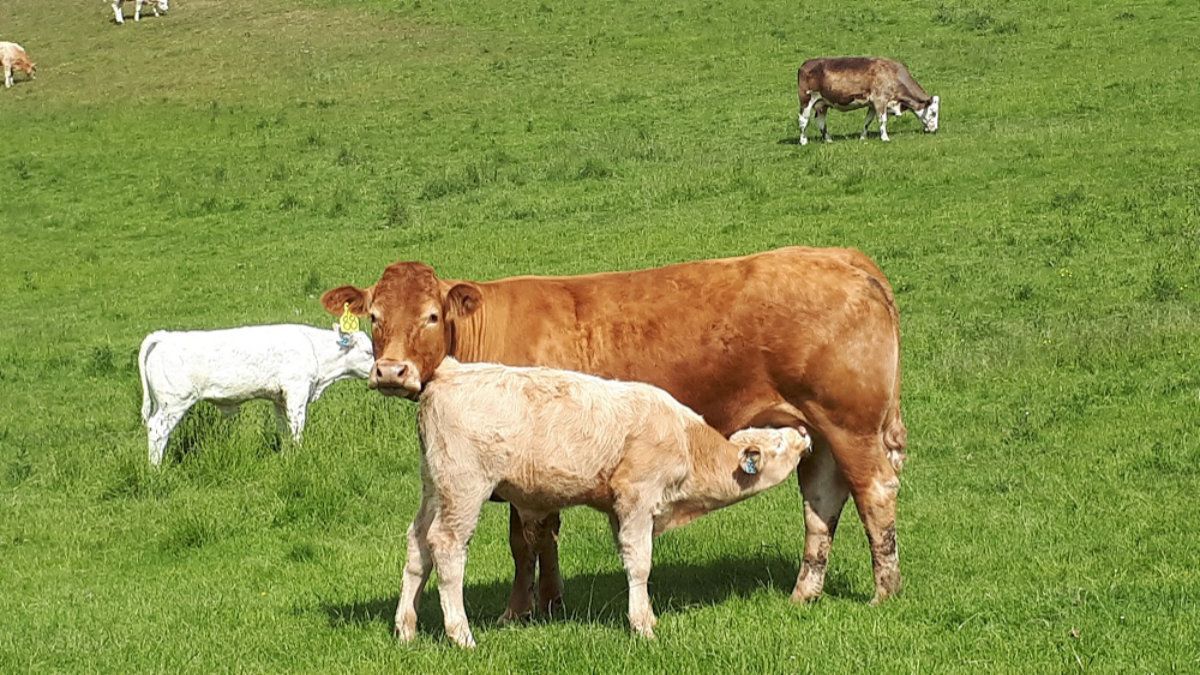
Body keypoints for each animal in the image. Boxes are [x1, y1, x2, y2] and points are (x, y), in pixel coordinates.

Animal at [137, 323, 374, 465]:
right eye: (369, 351)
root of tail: (164, 337)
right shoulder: (297, 392)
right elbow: (297, 429)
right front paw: (299, 456)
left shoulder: (280, 399)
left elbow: (284, 430)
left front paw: (287, 457)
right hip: (174, 403)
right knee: (157, 430)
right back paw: (155, 469)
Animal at [321, 246, 907, 618]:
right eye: (374, 316)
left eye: (430, 315)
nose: (392, 372)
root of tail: (840, 256)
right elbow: (540, 538)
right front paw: (550, 602)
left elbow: (524, 541)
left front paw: (520, 610)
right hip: (817, 431)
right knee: (821, 504)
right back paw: (804, 594)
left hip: (851, 426)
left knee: (875, 493)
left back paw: (885, 592)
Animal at [397, 357, 814, 647]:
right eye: (779, 444)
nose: (805, 435)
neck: (686, 443)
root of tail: (448, 372)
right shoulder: (637, 498)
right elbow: (640, 563)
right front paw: (643, 627)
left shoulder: (619, 509)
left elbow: (631, 558)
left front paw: (645, 617)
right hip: (463, 487)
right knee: (446, 547)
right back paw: (461, 635)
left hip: (434, 486)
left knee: (418, 546)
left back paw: (406, 628)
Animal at [797, 57, 939, 144]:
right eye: (933, 113)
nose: (936, 130)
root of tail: (805, 64)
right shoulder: (880, 100)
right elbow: (883, 120)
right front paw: (885, 138)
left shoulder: (872, 104)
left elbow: (867, 121)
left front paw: (863, 137)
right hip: (806, 100)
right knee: (803, 120)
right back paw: (803, 141)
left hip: (822, 103)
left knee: (820, 121)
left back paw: (828, 140)